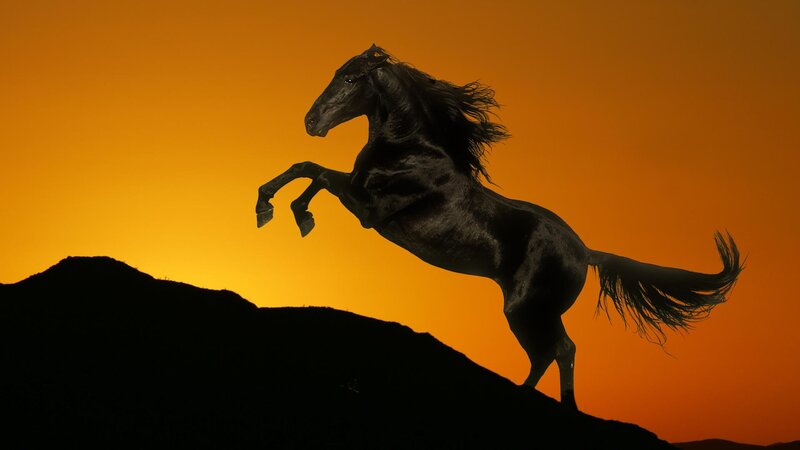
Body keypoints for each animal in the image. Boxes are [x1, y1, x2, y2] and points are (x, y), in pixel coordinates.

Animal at [255, 45, 742, 410]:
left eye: (351, 79)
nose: (311, 122)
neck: (410, 150)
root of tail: (586, 252)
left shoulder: (368, 210)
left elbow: (315, 172)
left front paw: (289, 214)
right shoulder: (359, 196)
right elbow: (305, 168)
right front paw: (274, 209)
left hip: (526, 308)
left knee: (558, 350)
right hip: (534, 310)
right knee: (556, 351)